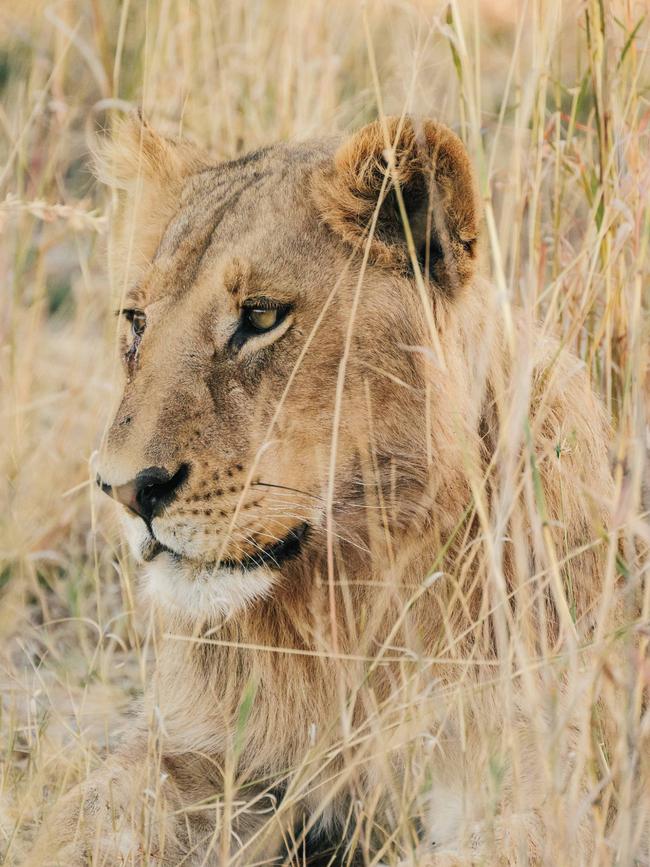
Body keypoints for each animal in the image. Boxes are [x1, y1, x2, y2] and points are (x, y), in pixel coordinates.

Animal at [25, 117, 632, 867]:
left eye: (260, 317)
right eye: (137, 320)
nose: (125, 490)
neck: (346, 607)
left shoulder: (541, 791)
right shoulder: (191, 756)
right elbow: (74, 821)